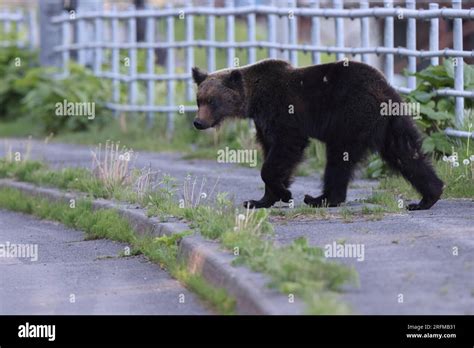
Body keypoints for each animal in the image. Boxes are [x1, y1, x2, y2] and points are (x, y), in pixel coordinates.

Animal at [191, 58, 442, 211]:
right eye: (199, 100)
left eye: (212, 101)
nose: (198, 122)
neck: (255, 101)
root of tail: (385, 87)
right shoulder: (263, 123)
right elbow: (272, 151)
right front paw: (259, 200)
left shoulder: (283, 113)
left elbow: (283, 149)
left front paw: (285, 193)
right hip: (391, 122)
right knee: (405, 152)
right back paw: (428, 197)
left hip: (350, 117)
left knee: (339, 158)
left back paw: (321, 198)